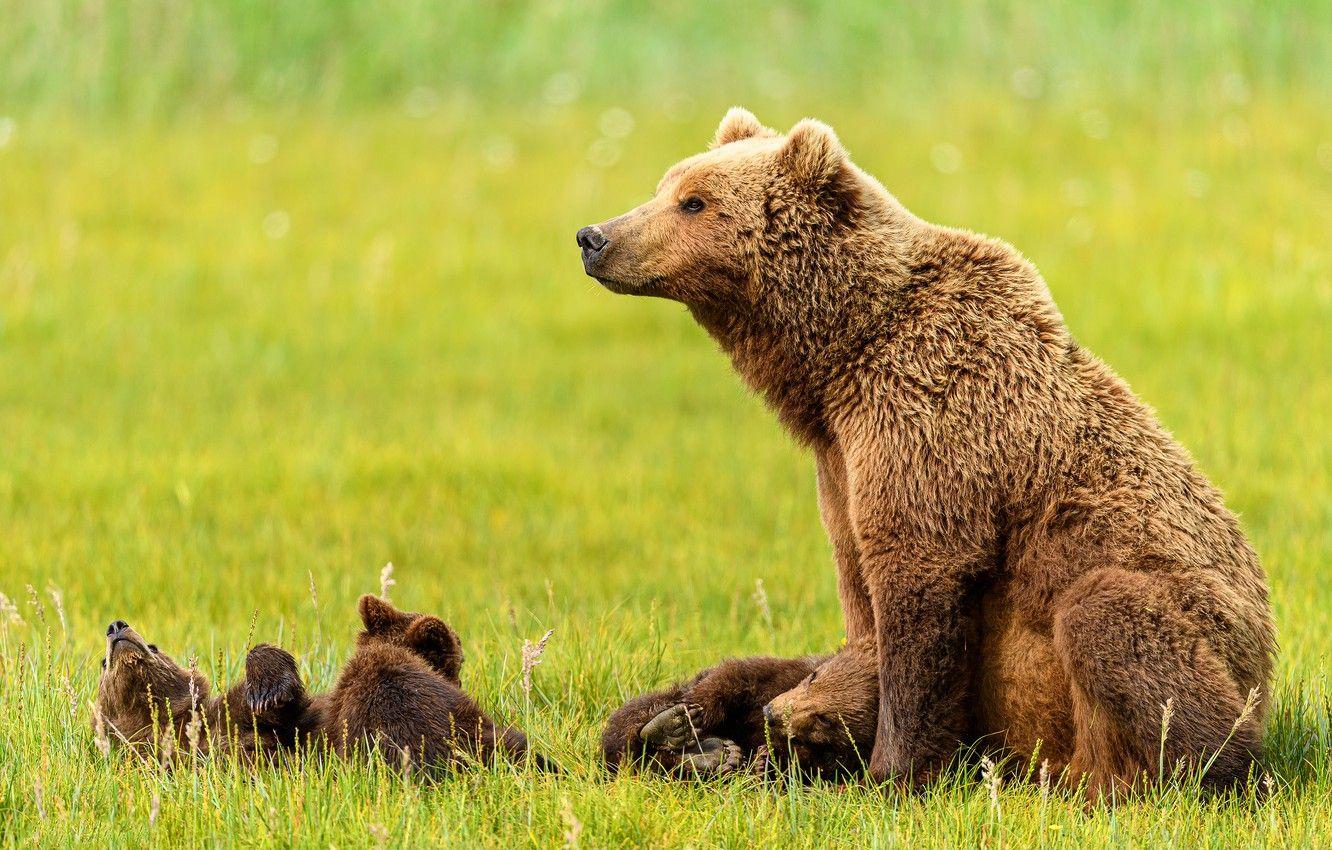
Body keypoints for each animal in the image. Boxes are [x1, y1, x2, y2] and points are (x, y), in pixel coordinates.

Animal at [602, 637, 878, 781]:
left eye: (825, 719)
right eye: (813, 678)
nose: (772, 715)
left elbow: (817, 767)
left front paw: (766, 762)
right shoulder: (782, 674)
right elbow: (734, 677)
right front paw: (683, 719)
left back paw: (716, 755)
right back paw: (678, 732)